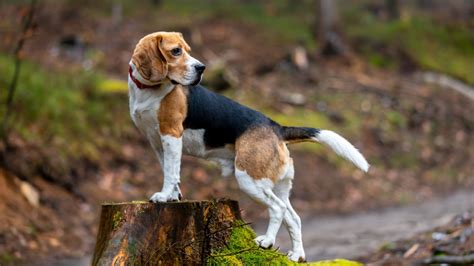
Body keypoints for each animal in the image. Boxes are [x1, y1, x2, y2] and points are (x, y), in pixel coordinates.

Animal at [128, 31, 368, 262]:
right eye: (176, 51)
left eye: (187, 50)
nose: (201, 68)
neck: (148, 90)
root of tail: (277, 127)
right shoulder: (157, 143)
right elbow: (170, 170)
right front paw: (173, 196)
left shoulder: (171, 134)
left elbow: (170, 173)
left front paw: (163, 196)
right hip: (278, 185)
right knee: (294, 217)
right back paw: (297, 255)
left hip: (250, 179)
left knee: (278, 209)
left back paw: (267, 241)